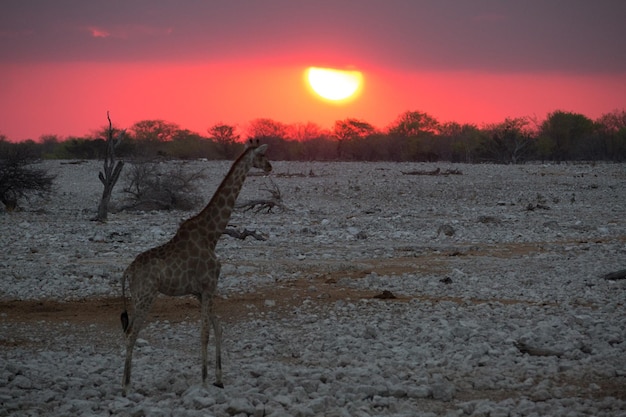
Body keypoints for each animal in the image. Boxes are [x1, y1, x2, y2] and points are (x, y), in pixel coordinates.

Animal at [119, 140, 270, 394]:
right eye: (262, 155)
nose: (269, 166)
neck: (212, 235)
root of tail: (127, 271)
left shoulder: (200, 292)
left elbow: (218, 328)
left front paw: (219, 379)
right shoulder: (208, 287)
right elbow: (205, 333)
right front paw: (204, 381)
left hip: (140, 296)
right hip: (145, 296)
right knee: (131, 333)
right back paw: (126, 387)